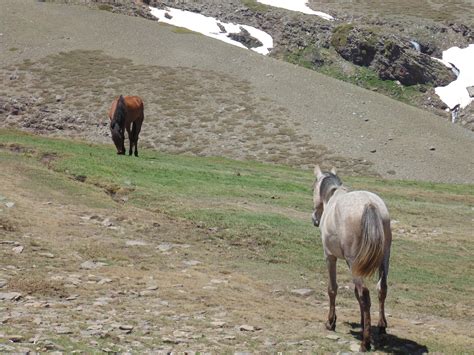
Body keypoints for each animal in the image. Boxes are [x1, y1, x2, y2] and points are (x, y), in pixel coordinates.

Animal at [312, 167, 392, 354]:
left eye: (313, 187)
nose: (314, 219)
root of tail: (370, 204)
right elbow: (356, 293)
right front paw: (363, 323)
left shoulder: (330, 257)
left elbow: (332, 289)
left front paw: (331, 322)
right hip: (384, 259)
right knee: (381, 289)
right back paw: (381, 328)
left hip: (354, 262)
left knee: (365, 294)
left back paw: (365, 343)